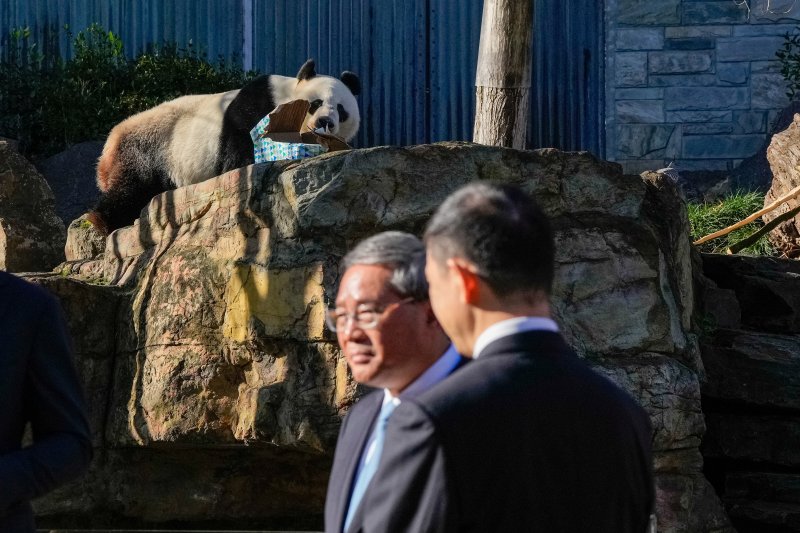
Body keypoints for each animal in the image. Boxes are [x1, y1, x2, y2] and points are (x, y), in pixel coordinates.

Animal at [90, 57, 360, 234]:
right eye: (316, 103)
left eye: (341, 110)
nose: (326, 122)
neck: (285, 97)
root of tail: (108, 148)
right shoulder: (257, 104)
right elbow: (239, 147)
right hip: (147, 147)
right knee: (132, 186)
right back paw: (104, 221)